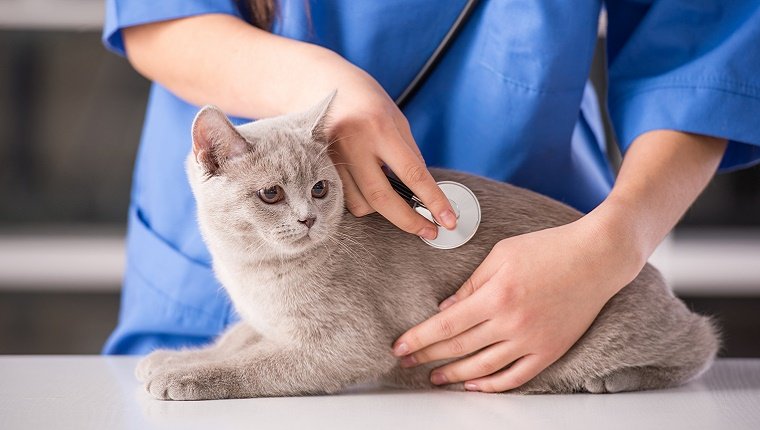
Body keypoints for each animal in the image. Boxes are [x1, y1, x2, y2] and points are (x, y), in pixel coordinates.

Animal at [135, 92, 720, 402]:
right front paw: (170, 358)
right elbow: (237, 340)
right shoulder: (263, 322)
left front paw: (182, 377)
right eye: (271, 194)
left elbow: (255, 365)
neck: (253, 270)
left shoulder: (347, 345)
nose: (308, 217)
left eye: (320, 188)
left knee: (701, 342)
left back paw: (613, 380)